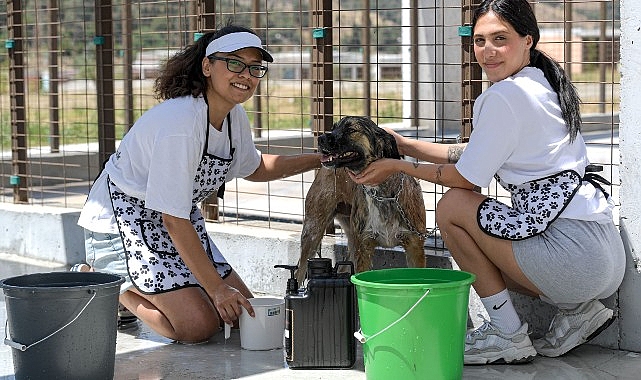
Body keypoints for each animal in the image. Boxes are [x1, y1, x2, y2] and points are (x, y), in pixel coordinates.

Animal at [298, 116, 428, 282]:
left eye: (351, 130)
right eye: (333, 128)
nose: (320, 138)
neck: (381, 194)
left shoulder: (414, 247)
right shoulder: (363, 248)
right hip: (313, 232)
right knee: (299, 271)